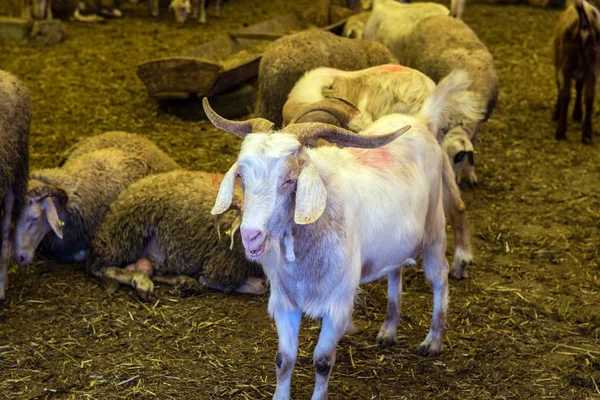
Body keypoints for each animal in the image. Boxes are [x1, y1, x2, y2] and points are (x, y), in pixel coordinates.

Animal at [86, 170, 268, 300]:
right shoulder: (219, 267)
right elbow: (260, 287)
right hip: (122, 238)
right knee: (101, 269)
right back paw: (141, 281)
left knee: (152, 270)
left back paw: (183, 281)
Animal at [204, 69, 486, 400]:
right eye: (243, 178)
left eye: (290, 179)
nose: (251, 235)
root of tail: (420, 120)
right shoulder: (285, 301)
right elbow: (283, 359)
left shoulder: (337, 302)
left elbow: (323, 360)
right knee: (396, 270)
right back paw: (388, 330)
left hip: (434, 225)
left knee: (439, 276)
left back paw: (433, 340)